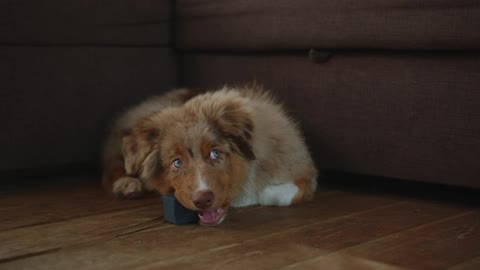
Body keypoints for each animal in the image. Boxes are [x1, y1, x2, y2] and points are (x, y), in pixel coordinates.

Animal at [101, 85, 316, 225]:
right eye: (176, 163)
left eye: (215, 153)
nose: (202, 200)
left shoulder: (304, 170)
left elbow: (281, 194)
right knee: (113, 164)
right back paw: (127, 184)